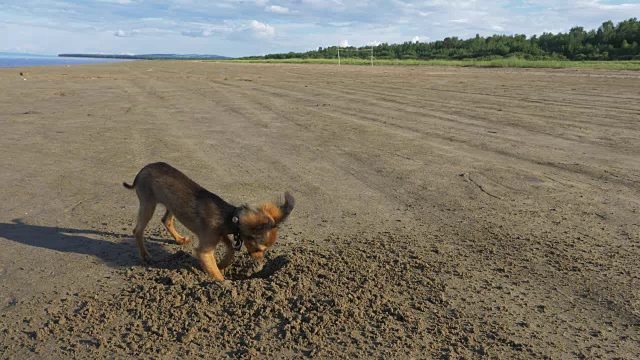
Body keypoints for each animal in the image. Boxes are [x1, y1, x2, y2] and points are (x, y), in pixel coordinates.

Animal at [123, 162, 296, 280]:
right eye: (259, 248)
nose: (260, 260)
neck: (230, 217)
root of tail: (142, 170)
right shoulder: (205, 250)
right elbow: (214, 271)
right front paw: (223, 282)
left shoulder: (220, 234)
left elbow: (231, 248)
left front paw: (223, 264)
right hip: (148, 204)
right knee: (137, 230)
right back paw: (145, 255)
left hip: (171, 205)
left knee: (166, 220)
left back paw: (179, 239)